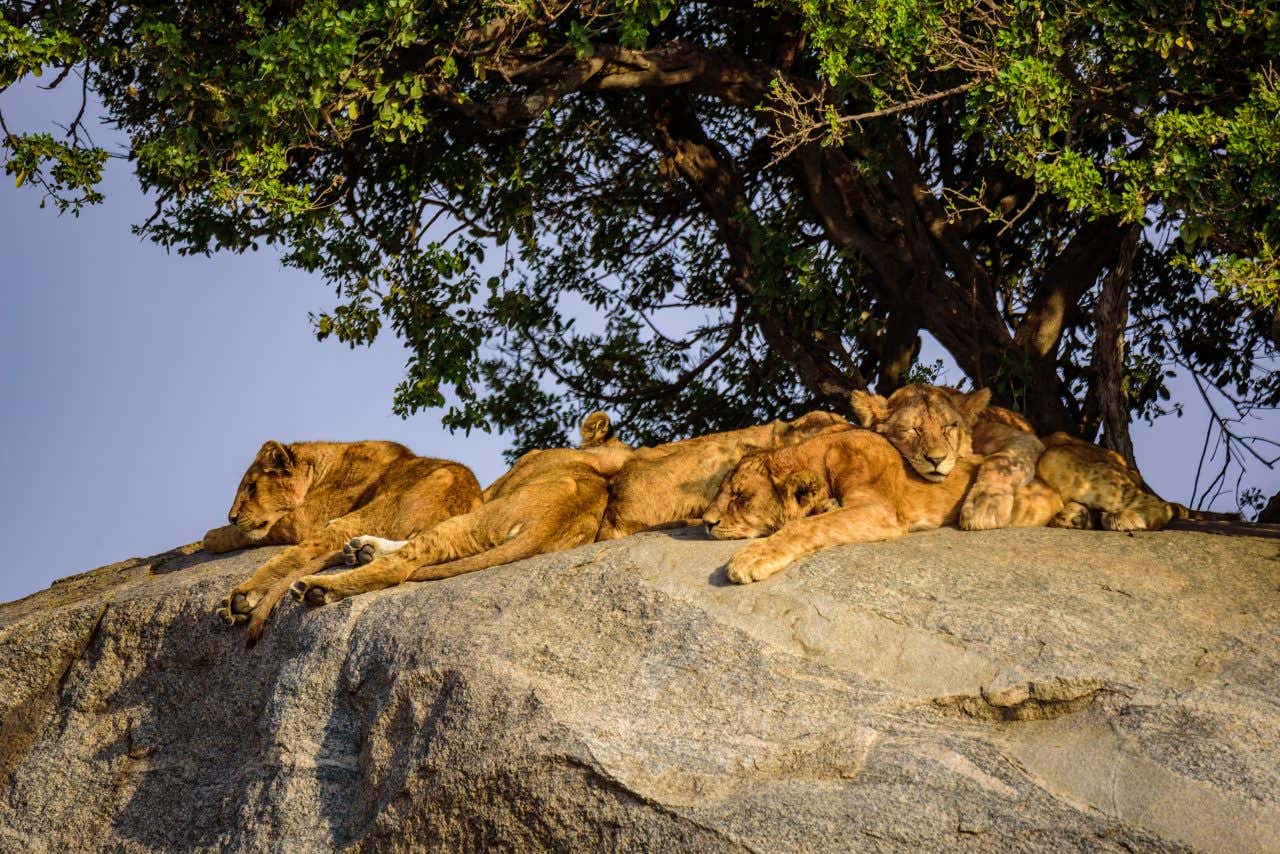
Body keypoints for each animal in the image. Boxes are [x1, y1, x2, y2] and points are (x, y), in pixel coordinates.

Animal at [207, 440, 482, 644]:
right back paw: (363, 552)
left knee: (297, 556)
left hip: (361, 518)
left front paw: (210, 538)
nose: (231, 517)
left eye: (252, 487)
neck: (322, 467)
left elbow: (246, 533)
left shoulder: (305, 521)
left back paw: (240, 599)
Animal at [285, 412, 632, 605]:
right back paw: (363, 550)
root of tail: (550, 524)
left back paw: (318, 588)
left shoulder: (493, 487)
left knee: (404, 562)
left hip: (475, 518)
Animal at [702, 428, 1068, 583]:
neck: (821, 457)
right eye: (722, 492)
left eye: (740, 496)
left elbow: (804, 525)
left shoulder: (878, 510)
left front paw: (750, 558)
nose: (706, 522)